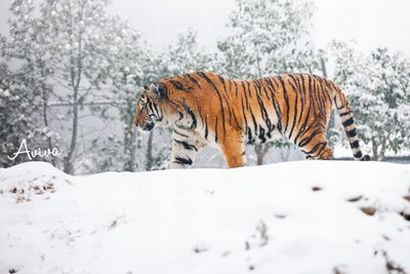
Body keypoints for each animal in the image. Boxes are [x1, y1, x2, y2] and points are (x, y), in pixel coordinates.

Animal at [133, 71, 370, 168]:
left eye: (143, 106)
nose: (135, 123)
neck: (180, 115)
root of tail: (324, 79)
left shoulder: (229, 138)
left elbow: (236, 164)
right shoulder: (184, 144)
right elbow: (176, 167)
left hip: (305, 130)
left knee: (326, 153)